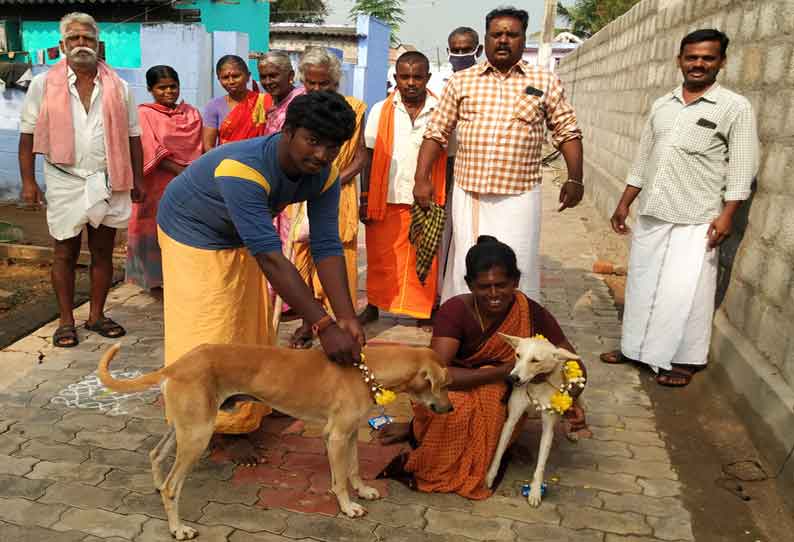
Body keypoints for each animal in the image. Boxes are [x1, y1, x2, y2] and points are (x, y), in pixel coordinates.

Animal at [96, 346, 448, 540]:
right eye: (443, 384)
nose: (450, 409)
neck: (366, 369)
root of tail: (175, 365)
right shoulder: (335, 436)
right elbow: (339, 481)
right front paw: (348, 507)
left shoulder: (349, 433)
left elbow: (354, 469)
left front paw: (362, 490)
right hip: (197, 435)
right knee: (172, 486)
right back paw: (177, 528)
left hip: (186, 427)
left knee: (156, 454)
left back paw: (157, 487)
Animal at [480, 336, 584, 510]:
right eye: (517, 355)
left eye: (535, 360)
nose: (512, 378)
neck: (536, 386)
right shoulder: (511, 420)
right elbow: (499, 451)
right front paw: (490, 477)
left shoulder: (548, 429)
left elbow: (541, 465)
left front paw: (535, 491)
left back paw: (574, 429)